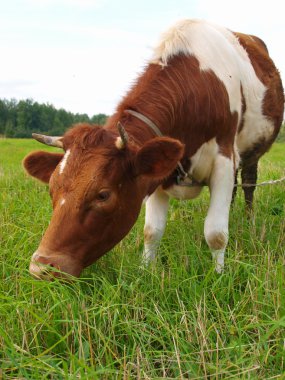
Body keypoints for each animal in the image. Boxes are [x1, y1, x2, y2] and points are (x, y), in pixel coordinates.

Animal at [23, 18, 282, 280]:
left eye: (103, 195)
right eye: (51, 189)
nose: (41, 267)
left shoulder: (223, 158)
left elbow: (216, 233)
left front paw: (218, 275)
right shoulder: (158, 172)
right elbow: (151, 230)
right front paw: (146, 270)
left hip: (251, 151)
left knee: (248, 183)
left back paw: (248, 222)